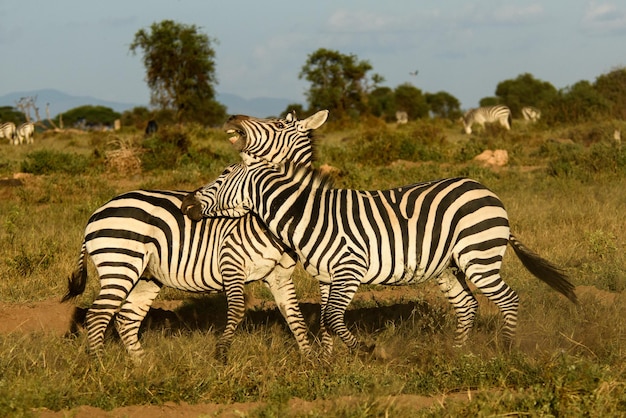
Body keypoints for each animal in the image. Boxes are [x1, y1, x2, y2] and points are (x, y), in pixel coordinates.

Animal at [61, 111, 330, 360]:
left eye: (279, 124)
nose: (232, 118)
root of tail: (98, 211)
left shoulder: (280, 277)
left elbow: (295, 318)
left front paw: (310, 362)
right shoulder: (231, 263)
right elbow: (236, 312)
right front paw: (222, 357)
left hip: (146, 275)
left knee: (126, 317)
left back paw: (143, 365)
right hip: (119, 264)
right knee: (98, 315)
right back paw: (99, 364)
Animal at [182, 116, 576, 356]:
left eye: (222, 175)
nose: (187, 203)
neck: (305, 212)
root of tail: (485, 189)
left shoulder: (349, 269)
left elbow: (333, 318)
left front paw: (368, 352)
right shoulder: (326, 276)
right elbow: (325, 318)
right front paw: (328, 363)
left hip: (478, 256)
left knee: (508, 299)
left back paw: (506, 351)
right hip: (448, 266)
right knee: (467, 304)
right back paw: (457, 353)